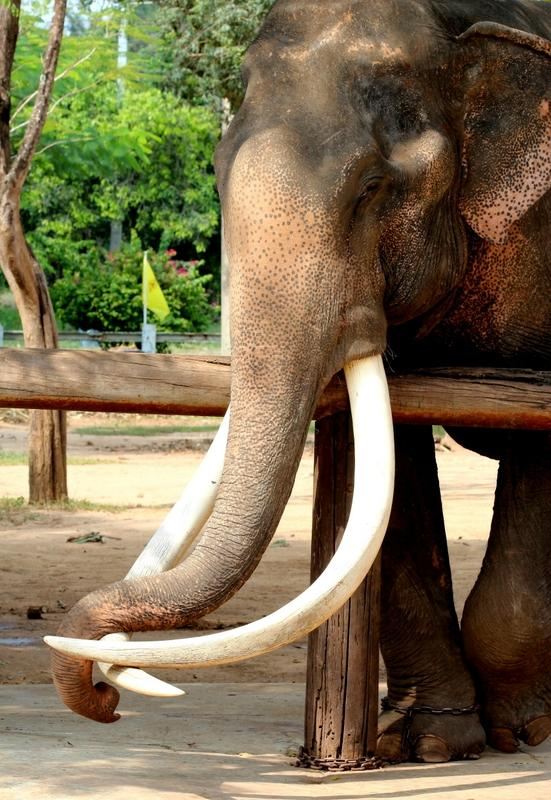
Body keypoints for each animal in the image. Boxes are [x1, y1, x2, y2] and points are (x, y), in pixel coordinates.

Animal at [46, 0, 551, 765]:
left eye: (371, 188)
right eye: (216, 175)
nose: (106, 699)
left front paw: (520, 730)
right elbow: (394, 464)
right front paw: (429, 741)